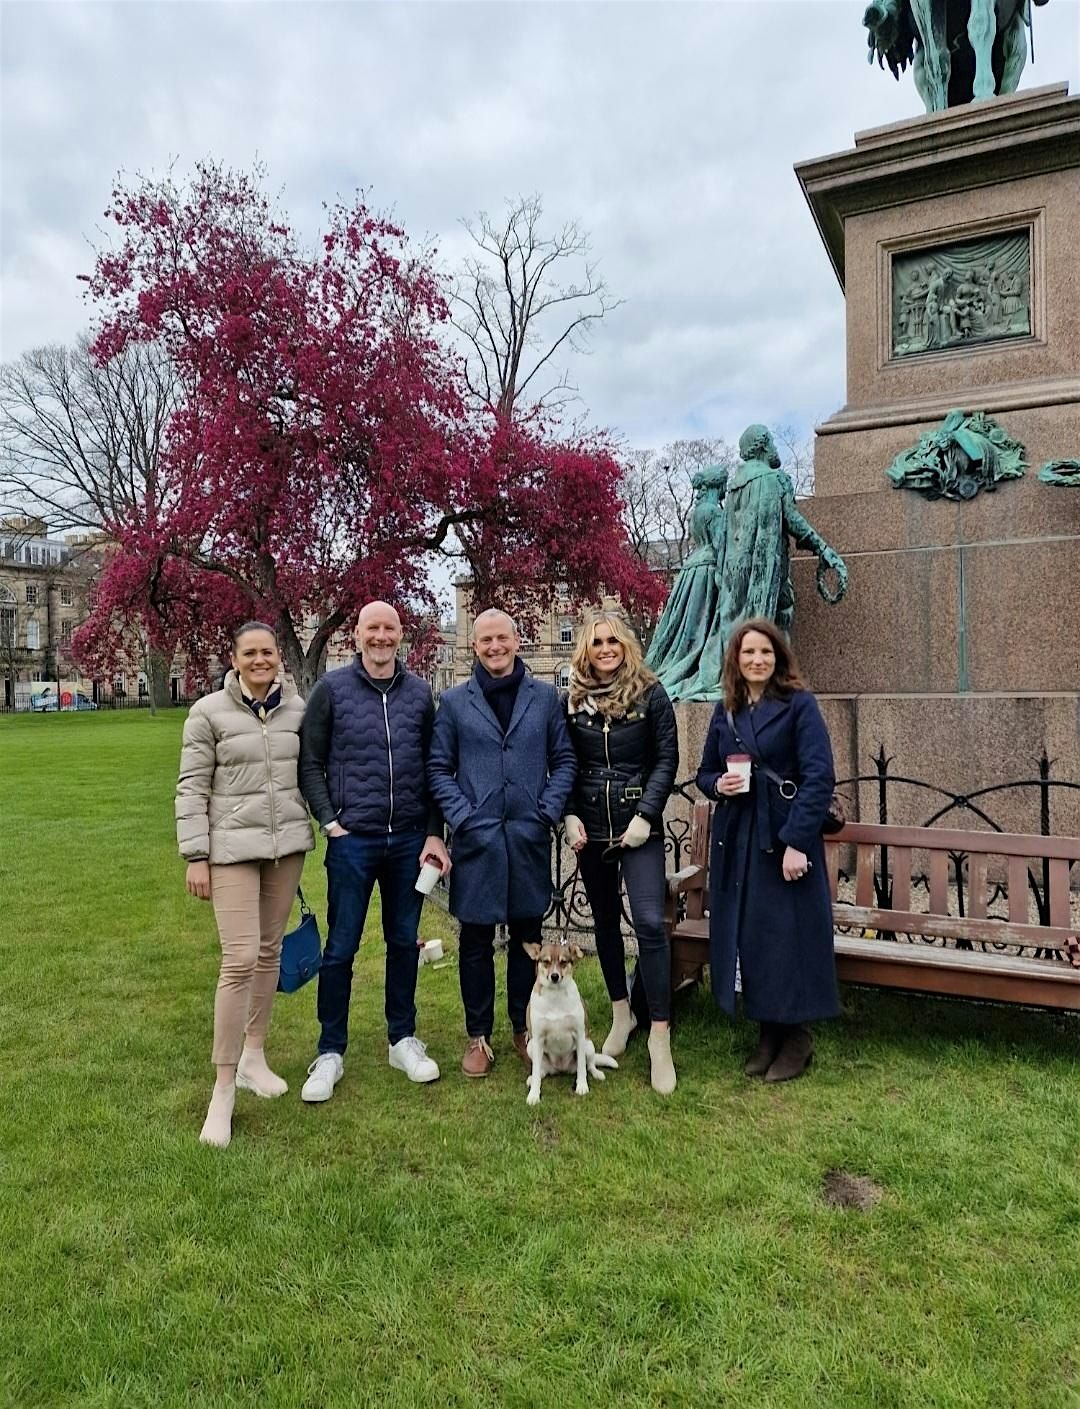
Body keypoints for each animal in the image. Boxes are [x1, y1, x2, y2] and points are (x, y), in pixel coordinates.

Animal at [523, 941, 616, 1104]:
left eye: (563, 962)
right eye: (546, 962)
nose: (554, 976)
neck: (555, 995)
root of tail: (561, 1068)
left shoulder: (579, 1034)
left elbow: (582, 1068)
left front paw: (582, 1086)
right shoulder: (538, 1038)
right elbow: (536, 1073)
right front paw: (534, 1095)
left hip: (588, 1045)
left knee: (589, 1065)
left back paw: (597, 1073)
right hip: (530, 1047)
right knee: (540, 1071)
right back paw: (533, 1077)